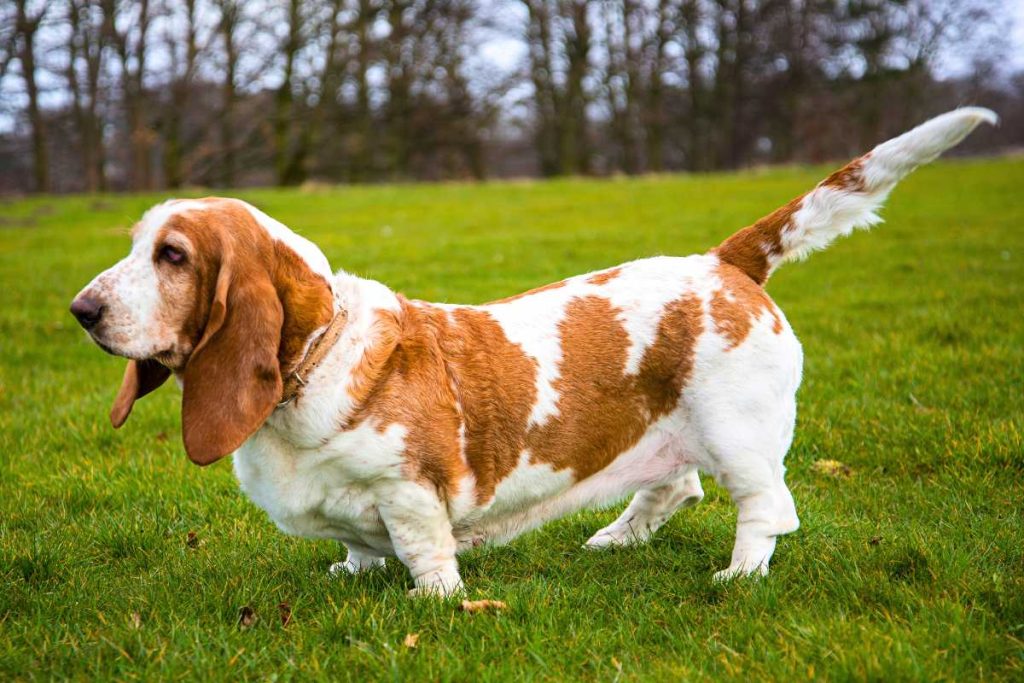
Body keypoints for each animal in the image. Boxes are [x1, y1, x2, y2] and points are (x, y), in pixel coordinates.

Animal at [70, 109, 991, 593]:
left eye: (173, 256)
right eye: (135, 244)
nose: (80, 310)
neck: (315, 359)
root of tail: (724, 261)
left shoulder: (410, 490)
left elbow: (422, 548)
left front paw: (434, 600)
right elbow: (357, 545)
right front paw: (349, 571)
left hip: (740, 434)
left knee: (765, 508)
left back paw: (736, 576)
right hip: (671, 430)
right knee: (675, 485)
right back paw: (615, 539)